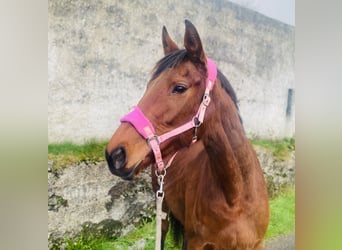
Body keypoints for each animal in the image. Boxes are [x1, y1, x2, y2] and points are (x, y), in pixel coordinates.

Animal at [105, 20, 268, 250]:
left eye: (180, 88)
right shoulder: (196, 242)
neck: (236, 197)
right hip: (163, 208)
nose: (115, 154)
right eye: (148, 86)